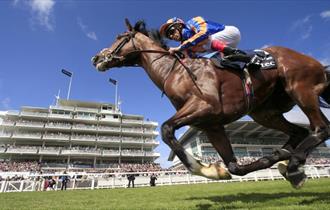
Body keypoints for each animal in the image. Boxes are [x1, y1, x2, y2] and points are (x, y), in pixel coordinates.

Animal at [91, 18, 330, 188]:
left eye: (120, 36)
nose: (96, 58)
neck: (175, 71)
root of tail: (317, 63)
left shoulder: (205, 107)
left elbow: (167, 129)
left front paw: (204, 168)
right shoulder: (211, 124)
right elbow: (234, 167)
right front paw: (217, 170)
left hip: (300, 88)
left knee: (320, 128)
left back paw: (295, 165)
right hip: (265, 112)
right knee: (299, 132)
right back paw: (284, 159)